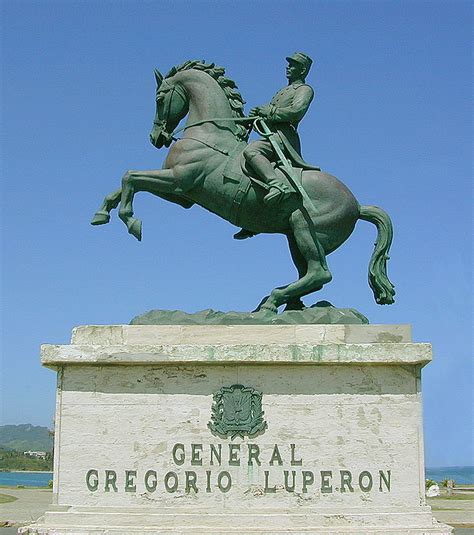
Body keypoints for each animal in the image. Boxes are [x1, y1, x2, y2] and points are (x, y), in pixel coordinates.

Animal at [90, 60, 394, 312]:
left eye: (159, 98)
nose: (156, 137)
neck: (209, 134)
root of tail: (357, 205)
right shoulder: (181, 193)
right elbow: (127, 181)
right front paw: (102, 213)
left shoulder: (178, 181)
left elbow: (131, 177)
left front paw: (131, 222)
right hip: (294, 238)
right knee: (311, 276)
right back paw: (282, 304)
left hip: (305, 229)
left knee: (320, 273)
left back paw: (273, 300)